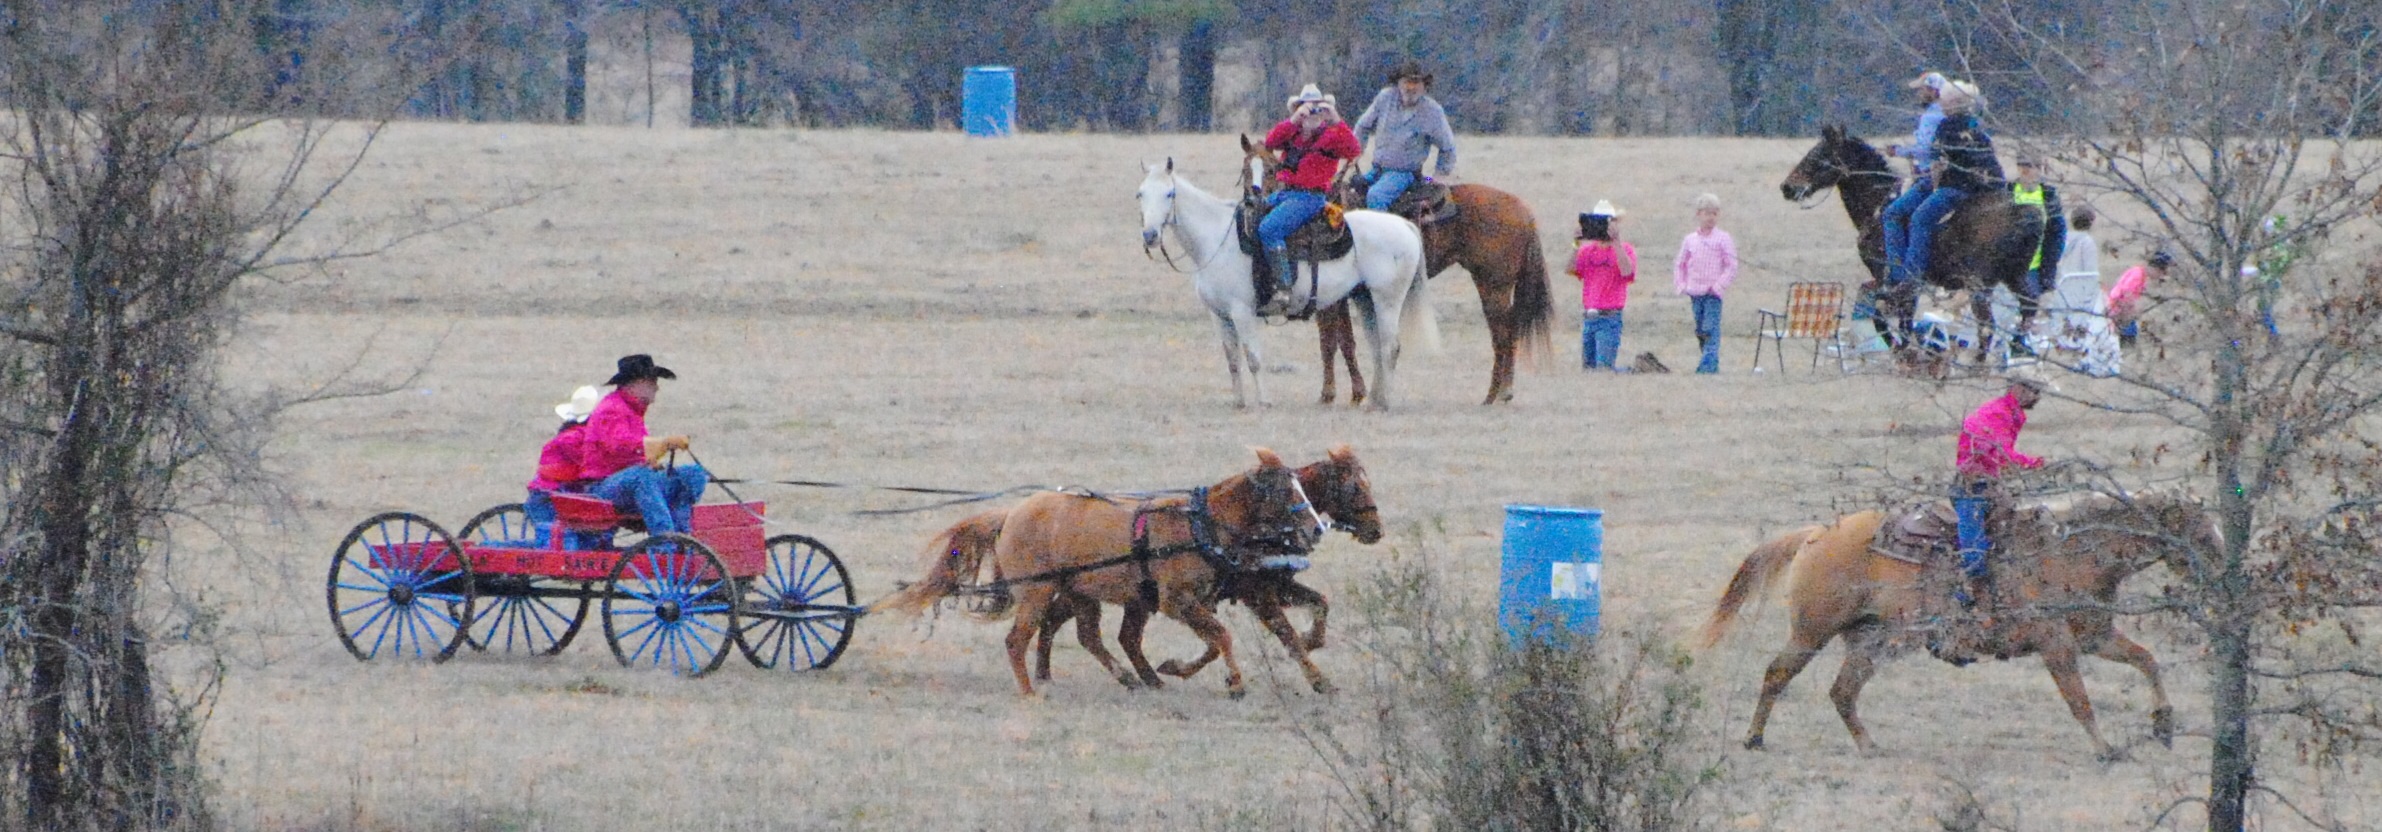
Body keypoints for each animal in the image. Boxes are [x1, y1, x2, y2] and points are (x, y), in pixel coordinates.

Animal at [877, 448, 1326, 698]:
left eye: (1301, 485)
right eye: (1284, 490)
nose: (1316, 529)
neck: (1199, 525)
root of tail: (1011, 514)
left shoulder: (1195, 600)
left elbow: (1217, 639)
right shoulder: (1176, 600)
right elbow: (1222, 635)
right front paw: (1235, 684)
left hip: (1080, 593)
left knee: (1088, 636)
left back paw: (1127, 678)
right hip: (1037, 592)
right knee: (1017, 640)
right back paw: (1028, 690)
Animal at [1137, 159, 1437, 410]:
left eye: (1169, 194)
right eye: (1140, 194)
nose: (1150, 235)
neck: (1217, 239)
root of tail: (1404, 225)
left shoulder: (1242, 312)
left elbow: (1253, 358)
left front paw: (1264, 402)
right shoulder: (1219, 315)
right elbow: (1232, 360)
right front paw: (1239, 403)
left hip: (1388, 299)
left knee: (1390, 347)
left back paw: (1385, 402)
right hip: (1365, 300)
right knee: (1376, 347)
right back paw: (1374, 400)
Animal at [1698, 491, 2216, 760]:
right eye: (2198, 528)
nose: (2219, 567)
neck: (2068, 554)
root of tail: (1813, 534)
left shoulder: (2096, 637)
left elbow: (2147, 661)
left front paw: (2163, 724)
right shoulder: (2056, 646)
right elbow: (2080, 701)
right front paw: (2106, 748)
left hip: (1874, 641)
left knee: (1842, 691)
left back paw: (1869, 745)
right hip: (1812, 632)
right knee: (1778, 673)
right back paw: (1754, 738)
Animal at [1781, 125, 2045, 363]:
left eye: (1818, 155)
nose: (1787, 187)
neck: (1881, 206)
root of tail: (2025, 212)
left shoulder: (1888, 278)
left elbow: (1884, 317)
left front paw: (1902, 351)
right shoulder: (1899, 284)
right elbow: (1901, 320)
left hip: (1979, 284)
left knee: (1987, 324)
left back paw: (1977, 363)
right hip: (2015, 276)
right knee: (2028, 308)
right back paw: (2019, 349)